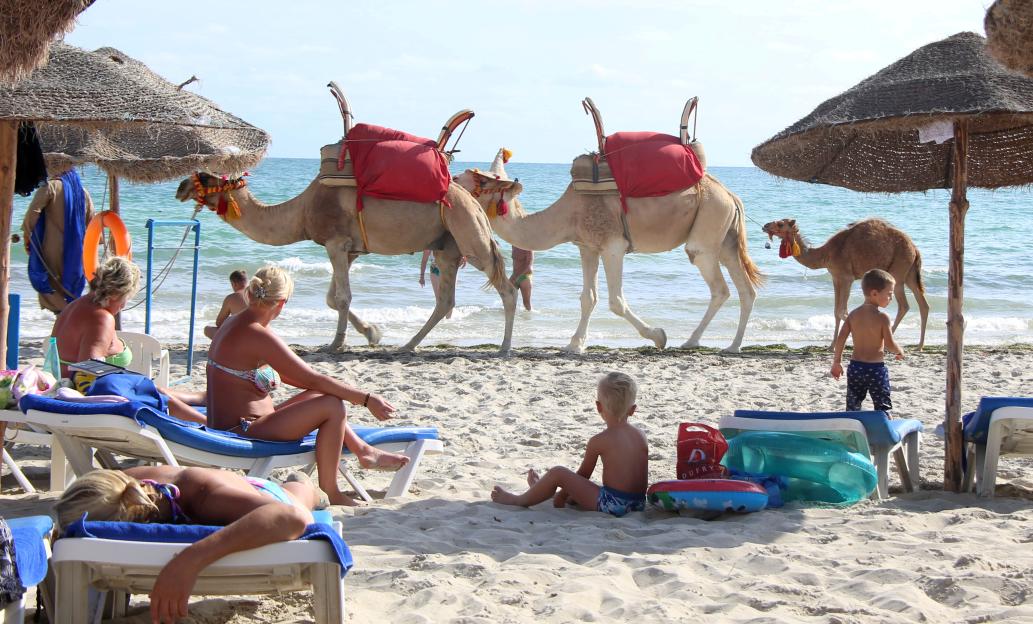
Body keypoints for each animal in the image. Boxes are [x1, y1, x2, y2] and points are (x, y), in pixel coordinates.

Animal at [176, 172, 516, 352]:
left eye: (204, 175)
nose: (180, 187)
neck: (301, 211)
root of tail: (474, 202)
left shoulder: (336, 243)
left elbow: (342, 297)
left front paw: (335, 344)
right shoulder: (349, 250)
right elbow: (331, 298)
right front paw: (372, 333)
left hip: (468, 233)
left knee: (507, 288)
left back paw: (504, 347)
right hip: (447, 245)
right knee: (446, 299)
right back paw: (407, 345)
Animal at [453, 149, 764, 353]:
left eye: (481, 180)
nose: (452, 178)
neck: (567, 213)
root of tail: (732, 196)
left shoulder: (613, 245)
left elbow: (616, 301)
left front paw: (659, 336)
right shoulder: (587, 247)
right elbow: (588, 298)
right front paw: (575, 344)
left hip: (709, 224)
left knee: (719, 286)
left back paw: (692, 341)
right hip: (726, 239)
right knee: (746, 289)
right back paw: (731, 345)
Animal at [761, 218, 929, 350]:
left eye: (780, 223)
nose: (765, 225)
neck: (825, 254)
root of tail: (915, 249)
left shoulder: (847, 278)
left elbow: (843, 311)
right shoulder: (836, 278)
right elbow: (836, 312)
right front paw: (831, 346)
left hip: (898, 273)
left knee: (904, 305)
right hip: (910, 274)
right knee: (923, 304)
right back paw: (919, 345)